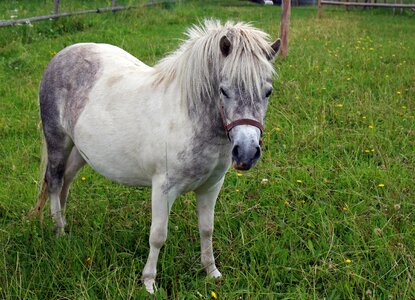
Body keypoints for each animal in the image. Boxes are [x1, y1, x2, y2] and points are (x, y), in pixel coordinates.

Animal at [30, 20, 282, 292]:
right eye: (224, 91)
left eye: (268, 92)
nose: (246, 152)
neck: (188, 116)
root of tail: (62, 55)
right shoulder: (163, 188)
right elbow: (158, 236)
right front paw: (149, 282)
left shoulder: (211, 186)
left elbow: (207, 229)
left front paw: (211, 272)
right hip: (57, 140)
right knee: (55, 181)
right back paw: (59, 231)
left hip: (80, 150)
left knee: (66, 180)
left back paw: (62, 226)